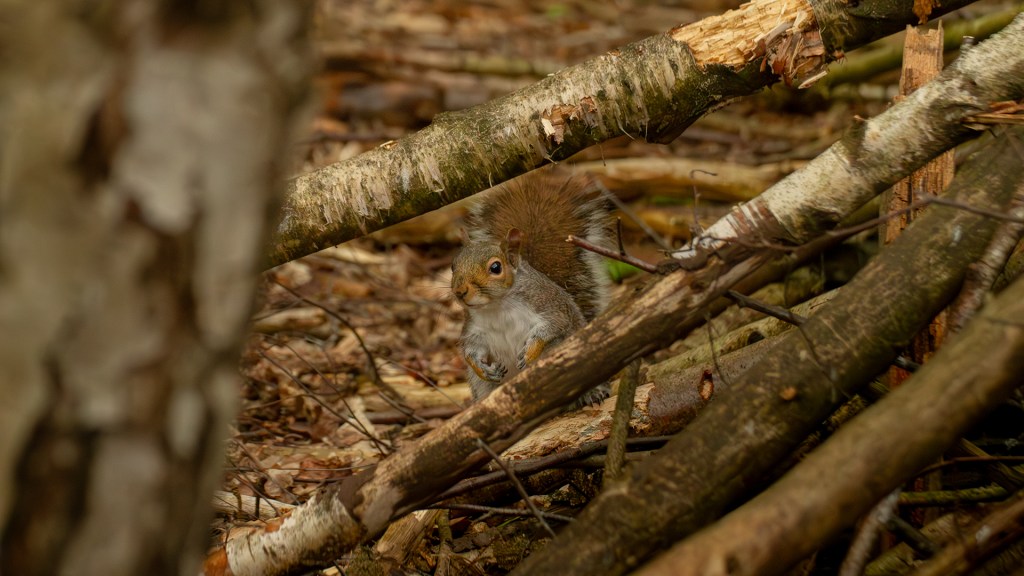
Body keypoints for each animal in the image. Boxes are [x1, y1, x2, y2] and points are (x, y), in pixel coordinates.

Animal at [451, 172, 613, 408]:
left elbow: (552, 326)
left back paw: (592, 393)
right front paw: (482, 368)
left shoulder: (549, 306)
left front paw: (530, 352)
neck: (497, 307)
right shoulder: (474, 329)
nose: (460, 291)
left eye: (495, 268)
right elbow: (471, 350)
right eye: (453, 265)